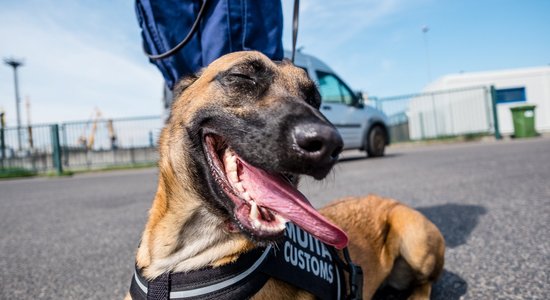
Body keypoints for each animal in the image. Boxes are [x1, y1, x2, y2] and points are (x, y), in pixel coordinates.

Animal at [127, 51, 446, 300]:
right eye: (242, 76)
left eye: (314, 98)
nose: (329, 144)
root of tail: (387, 199)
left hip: (415, 238)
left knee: (426, 284)